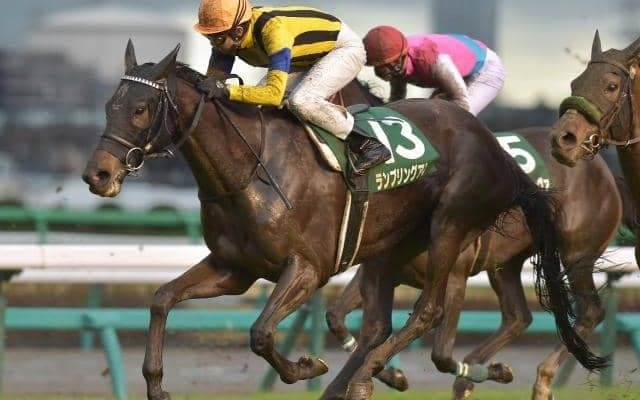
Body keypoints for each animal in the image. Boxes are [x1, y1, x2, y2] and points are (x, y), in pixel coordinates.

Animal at [326, 127, 626, 399]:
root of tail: (603, 170)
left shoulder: (455, 275)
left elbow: (440, 353)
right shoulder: (378, 270)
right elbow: (338, 317)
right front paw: (391, 376)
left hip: (577, 254)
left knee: (590, 311)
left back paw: (540, 379)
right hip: (505, 265)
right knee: (518, 316)